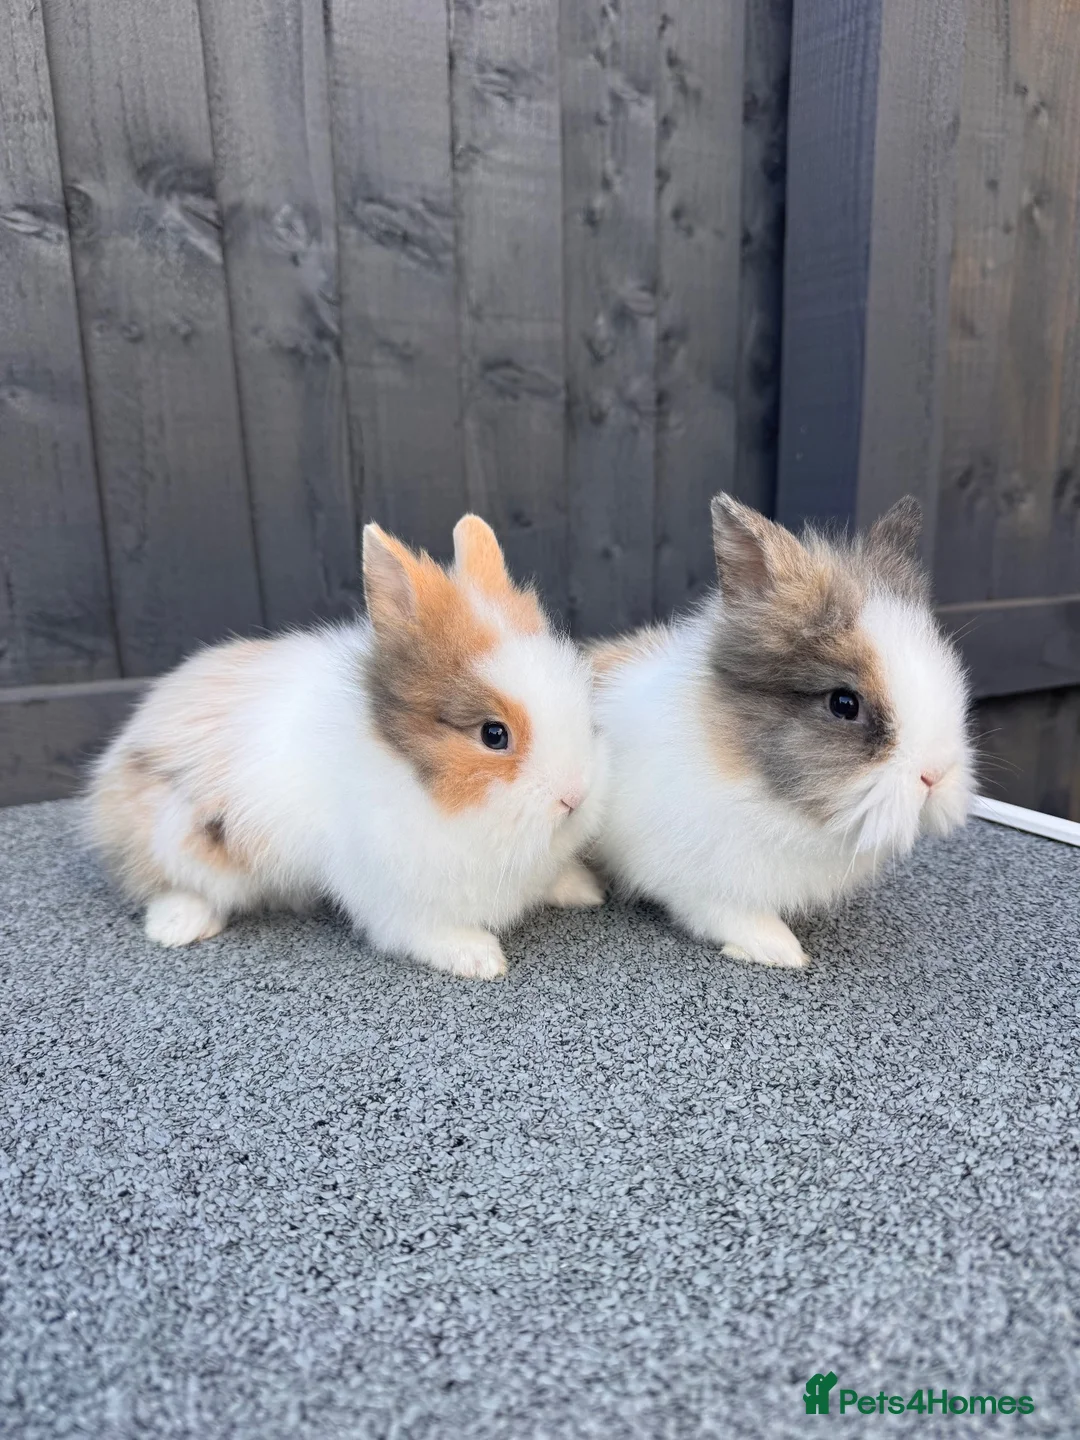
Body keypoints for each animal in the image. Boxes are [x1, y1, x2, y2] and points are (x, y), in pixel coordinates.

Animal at [85, 515, 605, 979]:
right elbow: (424, 931)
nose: (575, 797)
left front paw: (584, 890)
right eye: (493, 735)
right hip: (180, 836)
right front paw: (480, 959)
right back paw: (177, 928)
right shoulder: (393, 892)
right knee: (170, 884)